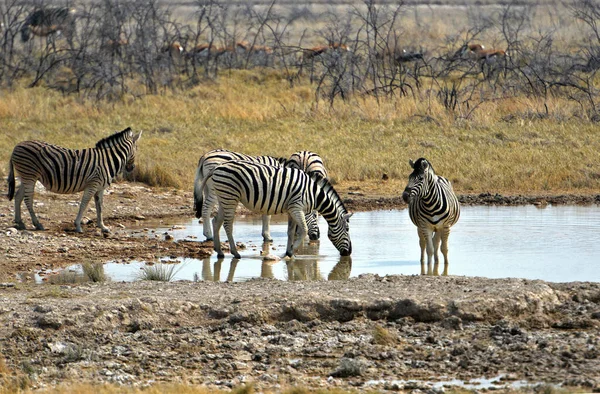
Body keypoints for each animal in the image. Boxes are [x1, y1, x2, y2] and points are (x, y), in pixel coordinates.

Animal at [7, 126, 141, 232]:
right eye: (136, 149)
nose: (131, 168)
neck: (108, 160)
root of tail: (16, 146)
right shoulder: (92, 184)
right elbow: (84, 204)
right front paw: (78, 226)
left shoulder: (100, 188)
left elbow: (100, 206)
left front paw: (103, 226)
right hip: (29, 175)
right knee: (28, 199)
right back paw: (37, 224)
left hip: (26, 176)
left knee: (18, 196)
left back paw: (20, 222)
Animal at [197, 160, 352, 258]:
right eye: (347, 229)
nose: (349, 252)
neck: (313, 193)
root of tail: (217, 167)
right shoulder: (297, 208)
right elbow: (304, 230)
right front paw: (291, 251)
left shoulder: (291, 210)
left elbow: (290, 232)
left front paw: (290, 253)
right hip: (230, 196)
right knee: (227, 224)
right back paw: (235, 253)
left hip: (224, 197)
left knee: (216, 221)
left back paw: (220, 252)